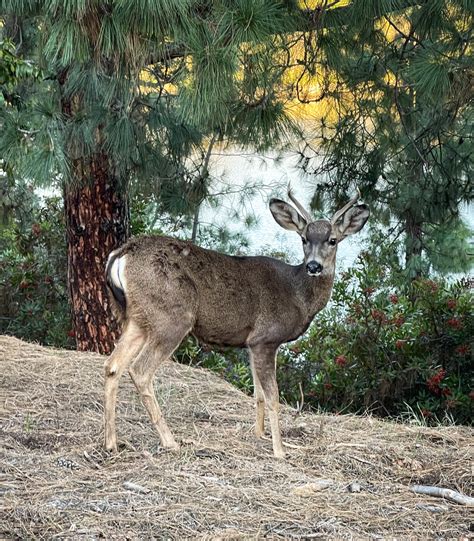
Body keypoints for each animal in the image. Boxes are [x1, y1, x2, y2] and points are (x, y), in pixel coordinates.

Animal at [104, 188, 370, 458]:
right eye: (304, 238)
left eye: (333, 240)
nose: (314, 265)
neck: (298, 294)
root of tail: (122, 253)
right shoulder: (266, 338)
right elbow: (273, 397)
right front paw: (279, 451)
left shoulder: (252, 343)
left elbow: (258, 394)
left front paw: (259, 435)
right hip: (172, 317)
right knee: (140, 370)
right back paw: (170, 441)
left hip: (138, 319)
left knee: (112, 365)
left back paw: (111, 443)